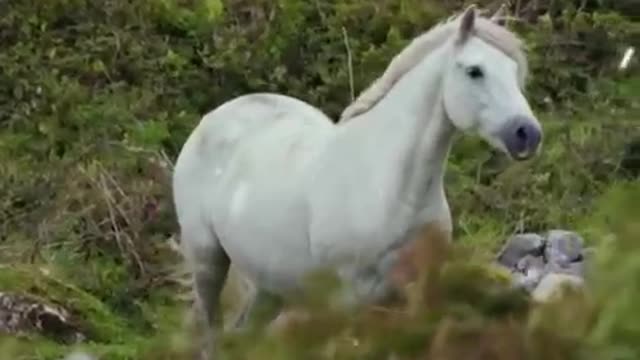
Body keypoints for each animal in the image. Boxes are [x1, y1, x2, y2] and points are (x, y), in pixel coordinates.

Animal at [172, 4, 544, 358]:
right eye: (474, 71)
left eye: (514, 72)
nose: (527, 134)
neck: (390, 190)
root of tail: (212, 120)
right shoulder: (351, 301)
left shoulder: (413, 296)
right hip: (208, 263)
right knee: (212, 335)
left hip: (268, 282)